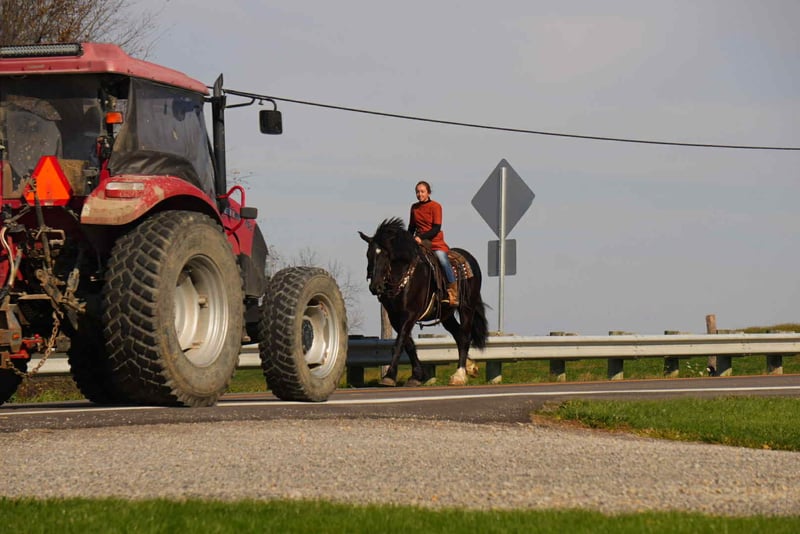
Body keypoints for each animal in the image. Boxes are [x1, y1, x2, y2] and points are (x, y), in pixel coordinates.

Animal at [358, 217, 488, 386]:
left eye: (386, 256)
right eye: (368, 255)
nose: (375, 287)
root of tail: (470, 259)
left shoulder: (410, 314)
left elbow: (399, 343)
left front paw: (389, 376)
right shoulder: (395, 317)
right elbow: (408, 344)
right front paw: (417, 375)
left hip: (467, 307)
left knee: (465, 336)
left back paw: (459, 375)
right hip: (446, 315)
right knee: (458, 335)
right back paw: (470, 367)